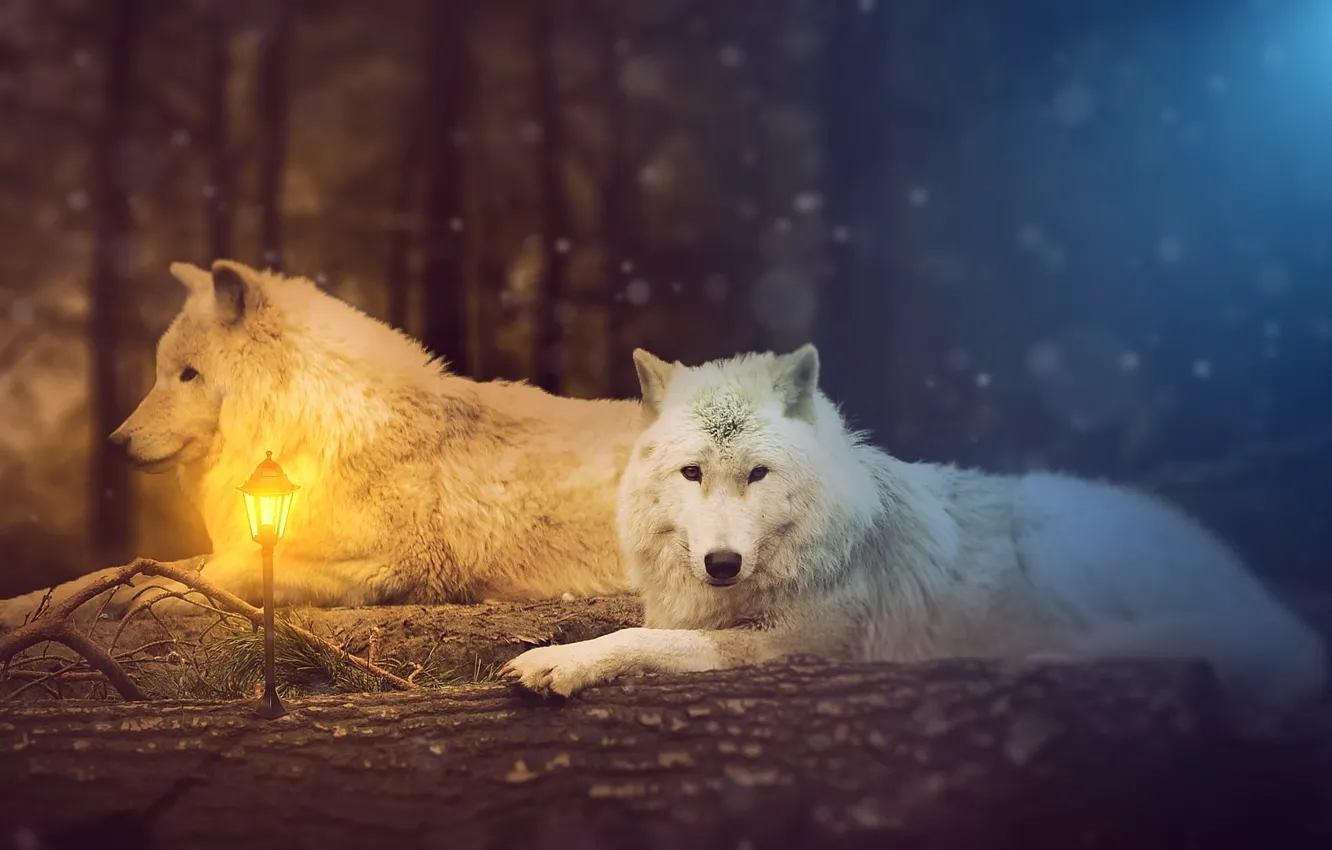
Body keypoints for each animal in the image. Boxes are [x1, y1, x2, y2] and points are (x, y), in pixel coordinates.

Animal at [0, 260, 639, 628]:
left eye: (187, 375)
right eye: (163, 372)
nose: (115, 442)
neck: (308, 427)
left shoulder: (394, 566)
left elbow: (224, 574)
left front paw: (163, 596)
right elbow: (97, 576)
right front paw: (23, 607)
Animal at [502, 344, 1327, 721]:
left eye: (759, 475)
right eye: (692, 473)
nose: (723, 563)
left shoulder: (788, 645)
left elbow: (645, 639)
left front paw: (560, 661)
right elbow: (645, 626)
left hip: (1056, 536)